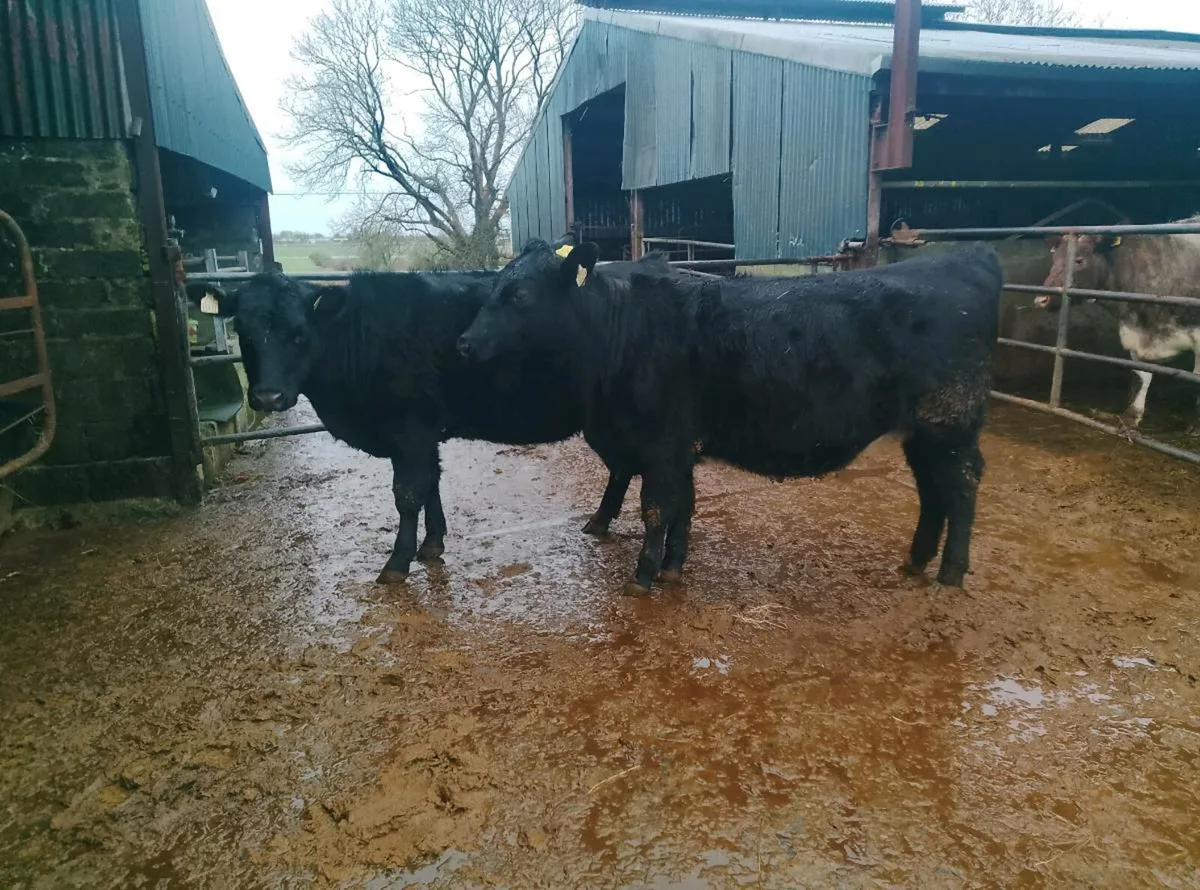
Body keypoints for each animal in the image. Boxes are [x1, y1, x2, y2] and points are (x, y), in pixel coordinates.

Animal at [188, 247, 672, 583]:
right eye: (242, 330)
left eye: (298, 332)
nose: (268, 397)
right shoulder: (422, 433)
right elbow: (431, 484)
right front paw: (433, 544)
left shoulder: (409, 426)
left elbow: (407, 493)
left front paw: (397, 562)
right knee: (622, 466)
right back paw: (600, 523)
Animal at [457, 240, 1004, 593]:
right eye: (495, 285)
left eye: (520, 294)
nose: (464, 343)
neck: (620, 330)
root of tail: (968, 256)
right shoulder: (677, 448)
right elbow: (683, 506)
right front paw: (673, 567)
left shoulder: (662, 445)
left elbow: (656, 507)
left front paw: (643, 576)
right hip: (924, 432)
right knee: (932, 490)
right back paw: (916, 562)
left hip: (950, 423)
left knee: (960, 487)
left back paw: (950, 576)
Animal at [1035, 223, 1200, 434]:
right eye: (1054, 259)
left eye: (1079, 260)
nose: (1041, 299)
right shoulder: (1133, 334)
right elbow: (1142, 375)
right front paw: (1132, 415)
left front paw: (1196, 426)